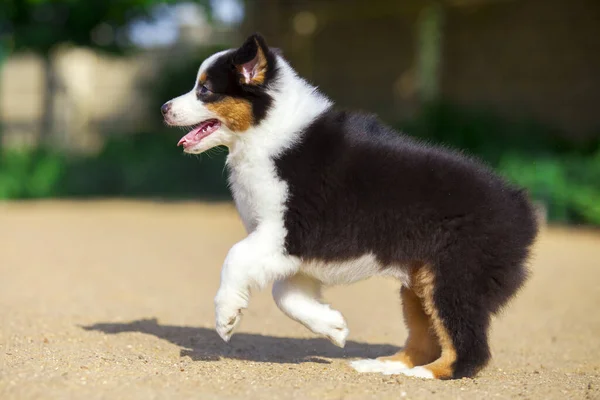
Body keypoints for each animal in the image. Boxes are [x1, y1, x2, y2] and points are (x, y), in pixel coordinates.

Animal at [162, 33, 536, 378]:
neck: (264, 134)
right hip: (419, 281)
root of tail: (522, 209)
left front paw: (226, 317)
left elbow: (236, 256)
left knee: (468, 348)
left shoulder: (290, 230)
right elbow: (285, 294)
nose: (164, 109)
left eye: (205, 90)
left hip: (455, 276)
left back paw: (423, 374)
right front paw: (334, 327)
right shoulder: (293, 250)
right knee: (426, 338)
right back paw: (383, 366)